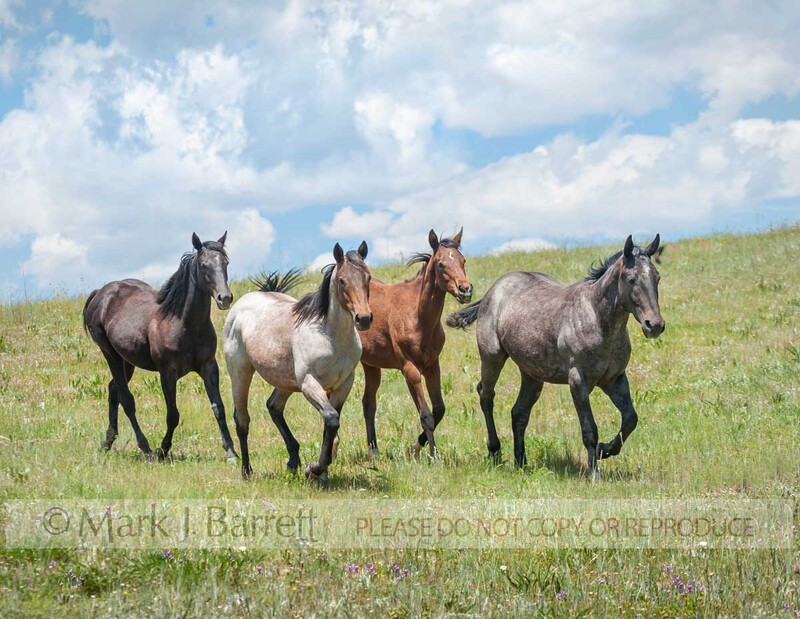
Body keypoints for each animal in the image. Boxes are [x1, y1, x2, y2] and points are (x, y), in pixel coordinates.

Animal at [82, 232, 237, 461]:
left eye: (225, 262)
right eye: (203, 265)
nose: (224, 298)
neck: (183, 323)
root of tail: (101, 293)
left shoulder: (209, 367)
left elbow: (218, 408)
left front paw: (231, 452)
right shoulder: (167, 373)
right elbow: (173, 414)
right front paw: (163, 450)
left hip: (127, 360)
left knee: (113, 390)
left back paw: (107, 443)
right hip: (110, 354)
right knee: (126, 399)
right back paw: (145, 448)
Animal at [223, 242, 372, 484]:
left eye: (368, 277)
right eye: (342, 280)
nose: (364, 318)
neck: (330, 336)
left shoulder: (343, 385)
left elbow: (331, 429)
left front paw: (319, 473)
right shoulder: (309, 383)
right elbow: (331, 419)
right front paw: (315, 469)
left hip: (285, 382)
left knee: (273, 406)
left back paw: (293, 461)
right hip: (240, 373)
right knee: (241, 420)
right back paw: (247, 471)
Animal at [359, 228, 472, 460]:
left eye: (463, 260)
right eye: (441, 264)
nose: (465, 289)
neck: (418, 316)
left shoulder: (432, 366)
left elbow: (439, 409)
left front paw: (413, 449)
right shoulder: (409, 369)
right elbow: (426, 414)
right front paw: (433, 456)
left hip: (371, 365)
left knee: (368, 403)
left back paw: (373, 451)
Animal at [447, 235, 664, 476]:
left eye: (657, 277)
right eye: (631, 279)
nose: (654, 325)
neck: (596, 318)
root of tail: (492, 291)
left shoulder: (614, 379)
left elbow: (630, 419)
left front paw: (604, 450)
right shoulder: (578, 381)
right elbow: (590, 429)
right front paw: (594, 472)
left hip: (532, 374)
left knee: (519, 413)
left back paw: (521, 462)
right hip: (492, 357)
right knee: (486, 394)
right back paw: (495, 451)